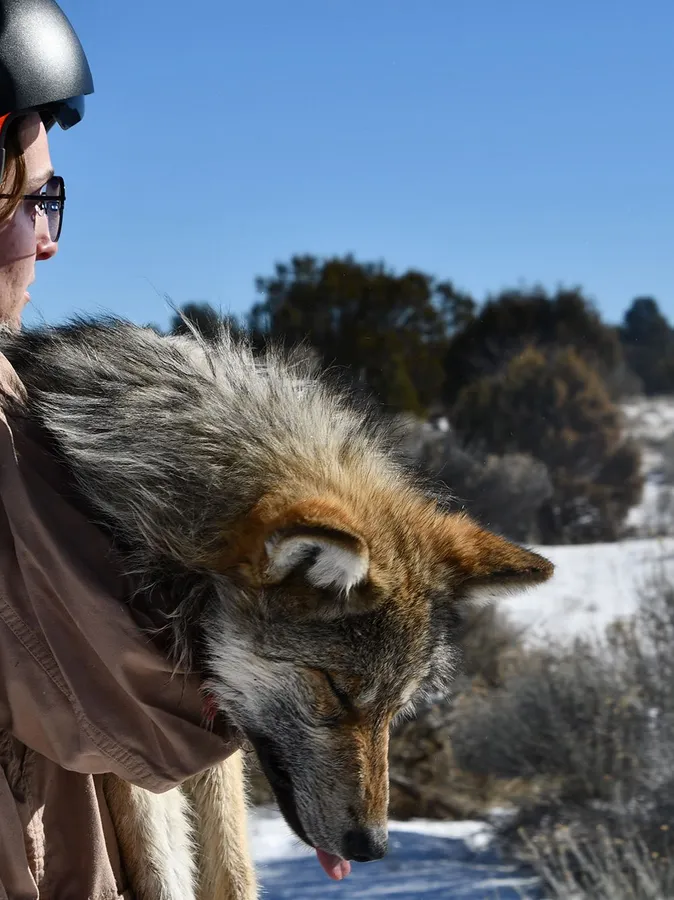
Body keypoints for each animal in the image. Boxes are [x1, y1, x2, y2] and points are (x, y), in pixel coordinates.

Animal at [0, 318, 553, 898]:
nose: (373, 847)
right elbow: (164, 869)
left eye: (396, 709)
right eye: (336, 690)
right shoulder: (130, 747)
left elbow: (234, 872)